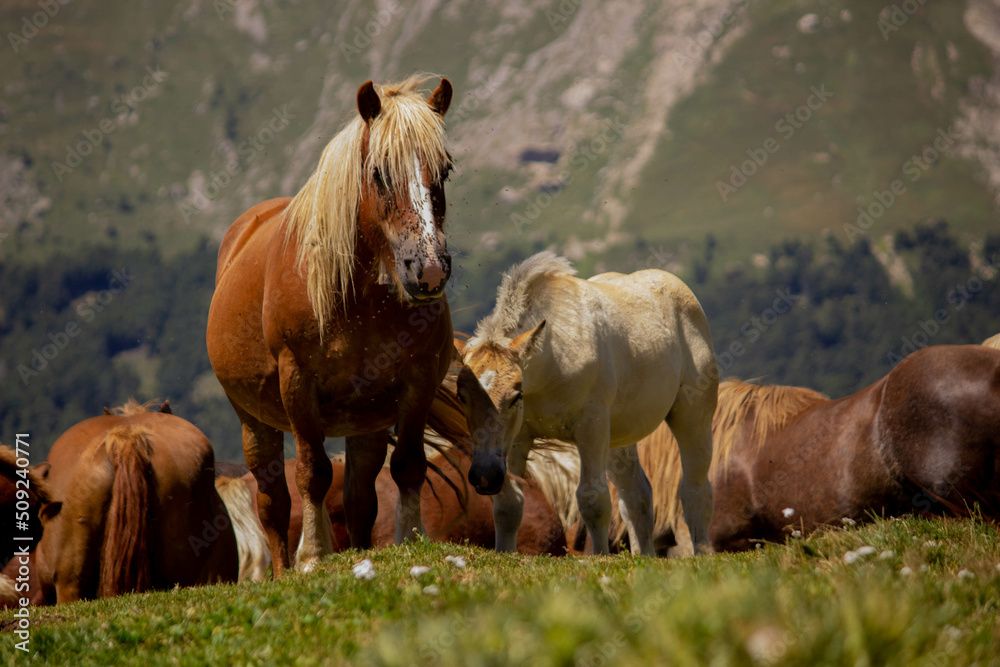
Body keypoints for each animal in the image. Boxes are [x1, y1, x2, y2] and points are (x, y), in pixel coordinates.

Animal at [206, 75, 456, 575]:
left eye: (445, 170)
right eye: (379, 173)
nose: (429, 271)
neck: (360, 301)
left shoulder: (417, 381)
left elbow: (408, 466)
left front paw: (411, 539)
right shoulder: (297, 382)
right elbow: (313, 473)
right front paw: (313, 555)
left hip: (366, 422)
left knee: (360, 496)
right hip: (253, 421)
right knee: (273, 501)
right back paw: (283, 569)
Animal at [454, 252, 718, 555]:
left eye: (515, 396)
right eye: (461, 396)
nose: (484, 475)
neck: (554, 355)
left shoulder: (591, 427)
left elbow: (593, 500)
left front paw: (600, 557)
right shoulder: (518, 437)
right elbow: (509, 504)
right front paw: (505, 554)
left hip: (692, 416)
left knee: (695, 489)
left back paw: (702, 553)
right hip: (619, 437)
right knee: (636, 497)